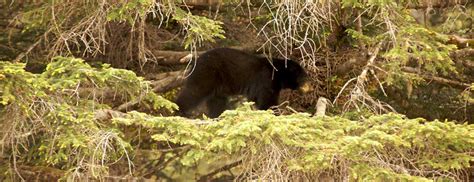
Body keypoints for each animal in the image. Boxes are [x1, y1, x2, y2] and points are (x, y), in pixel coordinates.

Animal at [176, 47, 310, 118]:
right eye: (304, 76)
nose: (309, 87)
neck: (278, 73)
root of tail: (196, 60)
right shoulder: (266, 80)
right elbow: (267, 100)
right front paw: (274, 114)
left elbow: (255, 98)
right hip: (208, 74)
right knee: (195, 91)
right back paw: (179, 110)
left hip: (219, 86)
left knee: (216, 102)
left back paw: (218, 116)